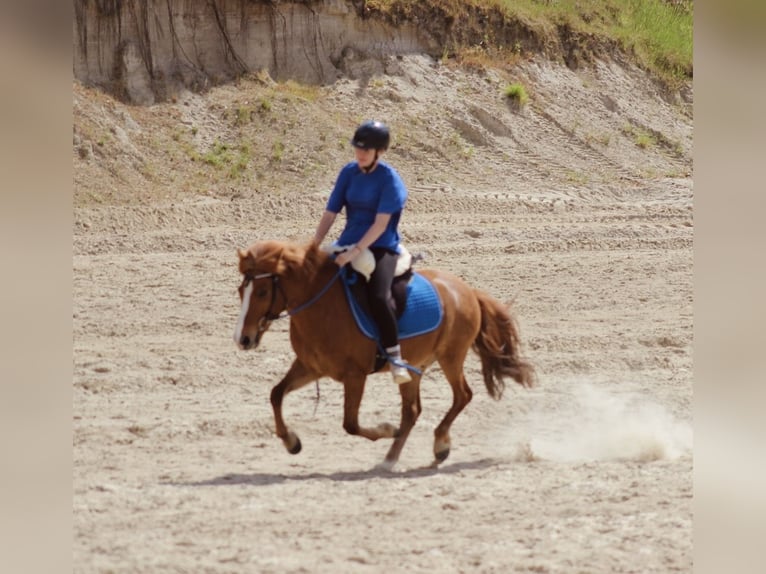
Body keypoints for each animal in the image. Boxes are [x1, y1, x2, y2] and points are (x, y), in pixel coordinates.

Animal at [234, 239, 536, 470]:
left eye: (262, 291)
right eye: (240, 290)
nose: (243, 339)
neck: (322, 307)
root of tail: (467, 290)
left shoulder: (355, 376)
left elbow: (351, 424)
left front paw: (386, 429)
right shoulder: (310, 367)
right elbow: (276, 394)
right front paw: (291, 442)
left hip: (451, 357)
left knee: (462, 395)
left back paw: (438, 444)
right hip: (415, 366)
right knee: (412, 411)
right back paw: (392, 458)